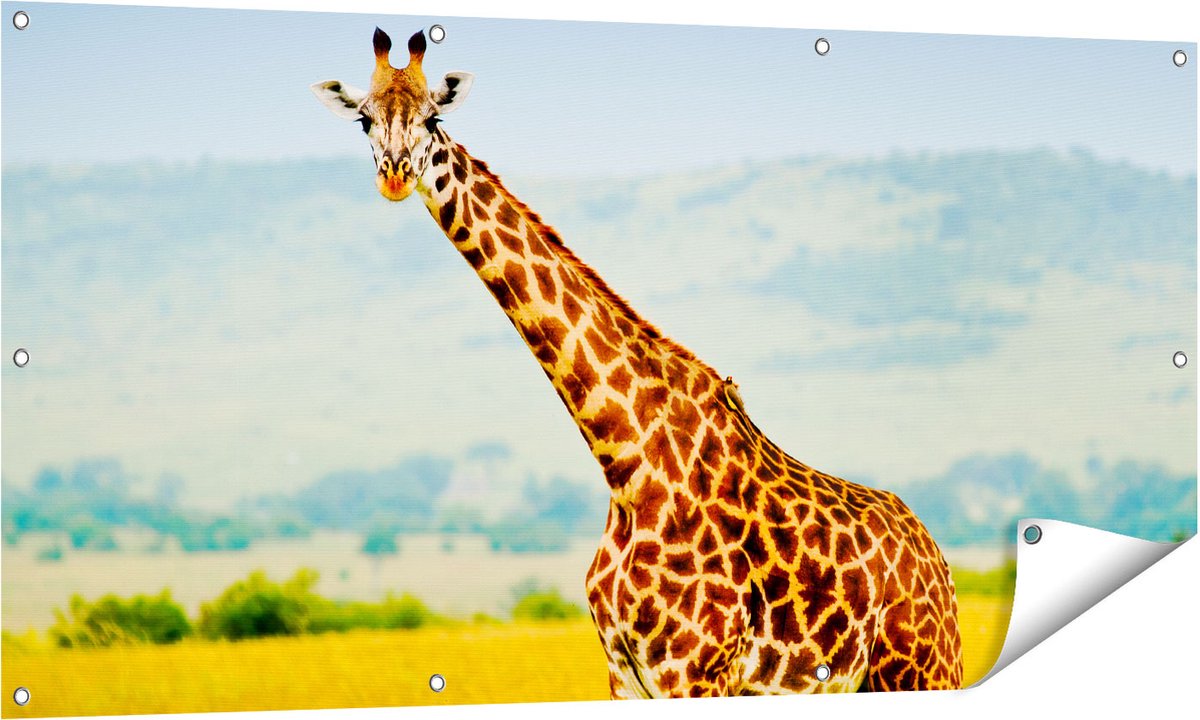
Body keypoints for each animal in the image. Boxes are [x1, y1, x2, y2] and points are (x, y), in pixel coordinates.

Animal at [313, 28, 963, 698]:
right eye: (364, 119)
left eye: (433, 117)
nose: (395, 175)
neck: (623, 459)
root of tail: (941, 567)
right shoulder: (625, 671)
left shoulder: (695, 670)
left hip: (919, 671)